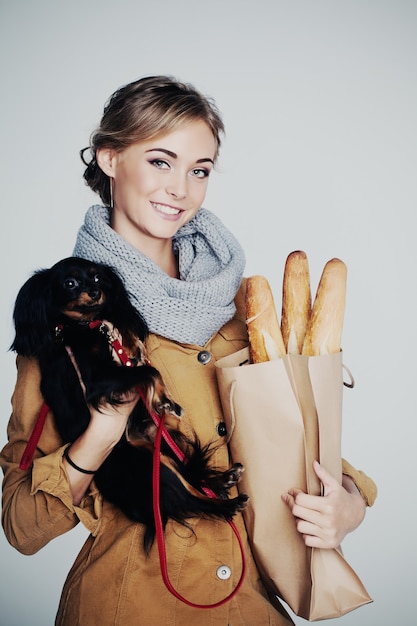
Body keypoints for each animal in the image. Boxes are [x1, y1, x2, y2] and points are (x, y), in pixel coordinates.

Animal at [11, 254, 247, 544]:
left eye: (97, 277)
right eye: (70, 283)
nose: (96, 292)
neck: (86, 326)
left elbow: (133, 350)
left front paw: (135, 347)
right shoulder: (97, 379)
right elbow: (149, 371)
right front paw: (163, 399)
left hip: (162, 449)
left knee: (189, 476)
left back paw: (222, 480)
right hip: (151, 466)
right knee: (189, 498)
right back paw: (227, 503)